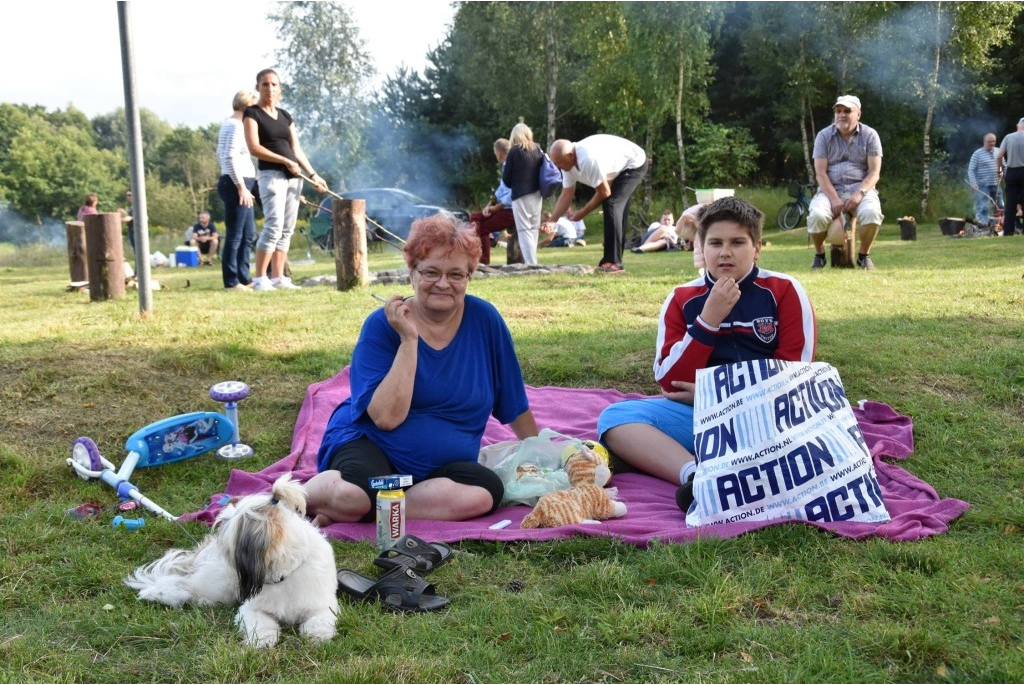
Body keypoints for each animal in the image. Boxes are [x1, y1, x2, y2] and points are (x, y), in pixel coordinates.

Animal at [124, 475, 335, 647]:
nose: (220, 541)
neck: (284, 575)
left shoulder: (323, 605)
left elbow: (320, 619)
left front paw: (317, 636)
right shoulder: (250, 608)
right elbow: (260, 623)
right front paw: (263, 640)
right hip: (217, 585)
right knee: (183, 583)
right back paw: (155, 593)